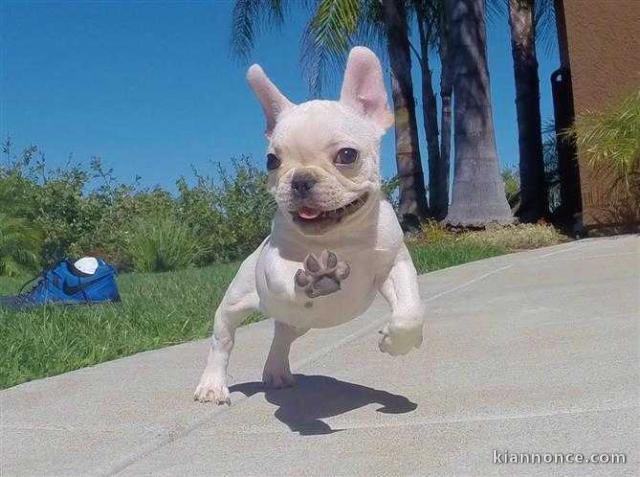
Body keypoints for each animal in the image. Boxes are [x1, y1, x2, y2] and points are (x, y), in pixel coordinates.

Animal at [195, 44, 424, 404]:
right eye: (271, 161)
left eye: (347, 155)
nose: (300, 179)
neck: (340, 238)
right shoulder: (274, 260)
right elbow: (283, 274)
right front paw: (316, 276)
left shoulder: (393, 263)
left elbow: (410, 310)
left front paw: (396, 341)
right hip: (237, 300)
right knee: (224, 337)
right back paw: (212, 385)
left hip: (298, 324)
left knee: (282, 336)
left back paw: (276, 372)